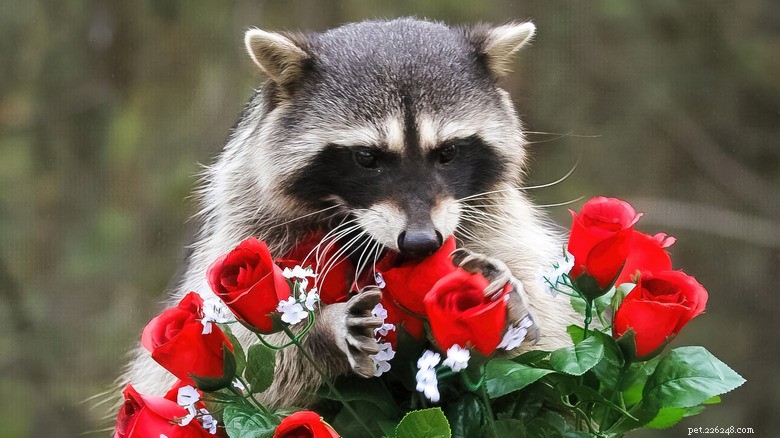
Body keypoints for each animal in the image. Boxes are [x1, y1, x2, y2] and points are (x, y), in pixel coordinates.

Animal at [122, 17, 577, 410]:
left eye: (448, 152)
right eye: (366, 158)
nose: (421, 242)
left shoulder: (491, 218)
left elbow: (547, 332)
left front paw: (511, 298)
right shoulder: (246, 226)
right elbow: (253, 364)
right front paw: (325, 327)